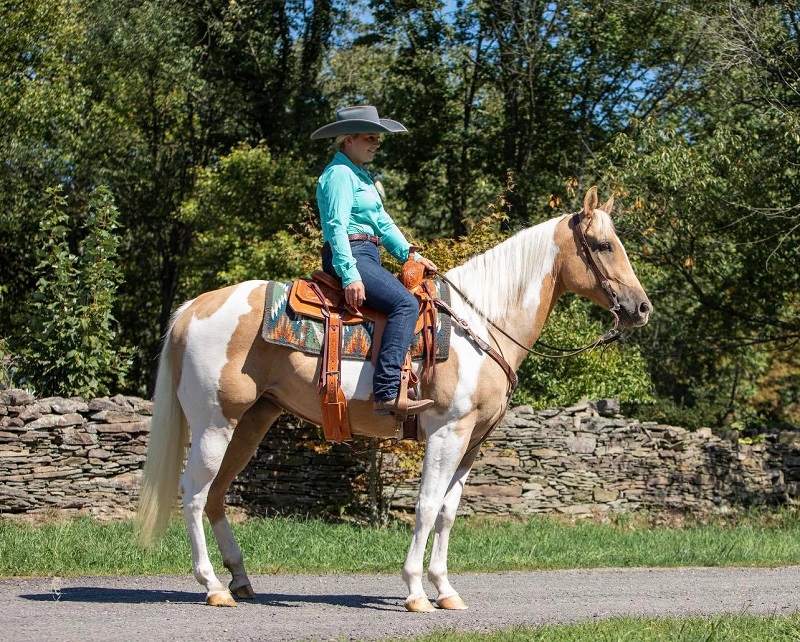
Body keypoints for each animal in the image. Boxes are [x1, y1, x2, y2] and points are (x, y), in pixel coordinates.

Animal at [137, 186, 652, 611]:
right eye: (603, 245)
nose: (642, 308)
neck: (479, 326)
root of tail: (192, 308)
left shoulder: (473, 441)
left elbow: (448, 511)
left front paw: (446, 590)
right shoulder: (446, 431)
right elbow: (426, 505)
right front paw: (415, 591)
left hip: (251, 423)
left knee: (216, 495)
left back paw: (241, 580)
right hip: (214, 423)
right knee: (193, 493)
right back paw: (213, 586)